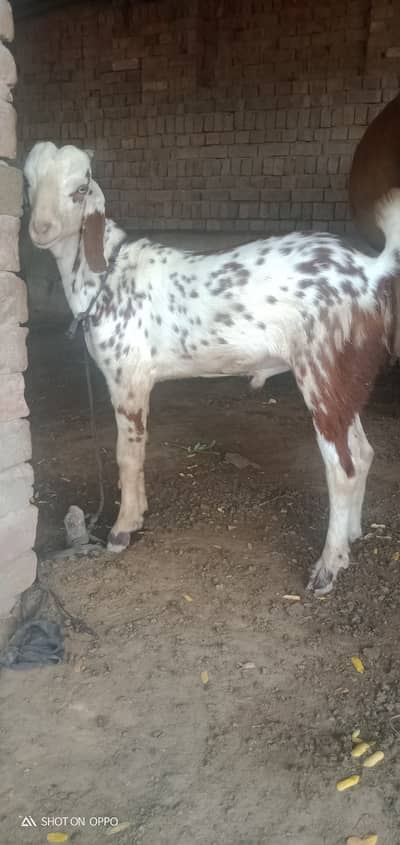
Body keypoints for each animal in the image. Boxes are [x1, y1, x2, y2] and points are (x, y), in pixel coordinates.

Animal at [24, 142, 398, 594]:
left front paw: (122, 528)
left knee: (341, 468)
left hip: (321, 370)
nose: (40, 229)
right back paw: (352, 535)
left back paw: (328, 567)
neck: (105, 274)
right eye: (28, 182)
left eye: (80, 189)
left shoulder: (128, 376)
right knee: (362, 452)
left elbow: (127, 453)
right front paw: (139, 513)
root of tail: (373, 270)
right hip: (346, 378)